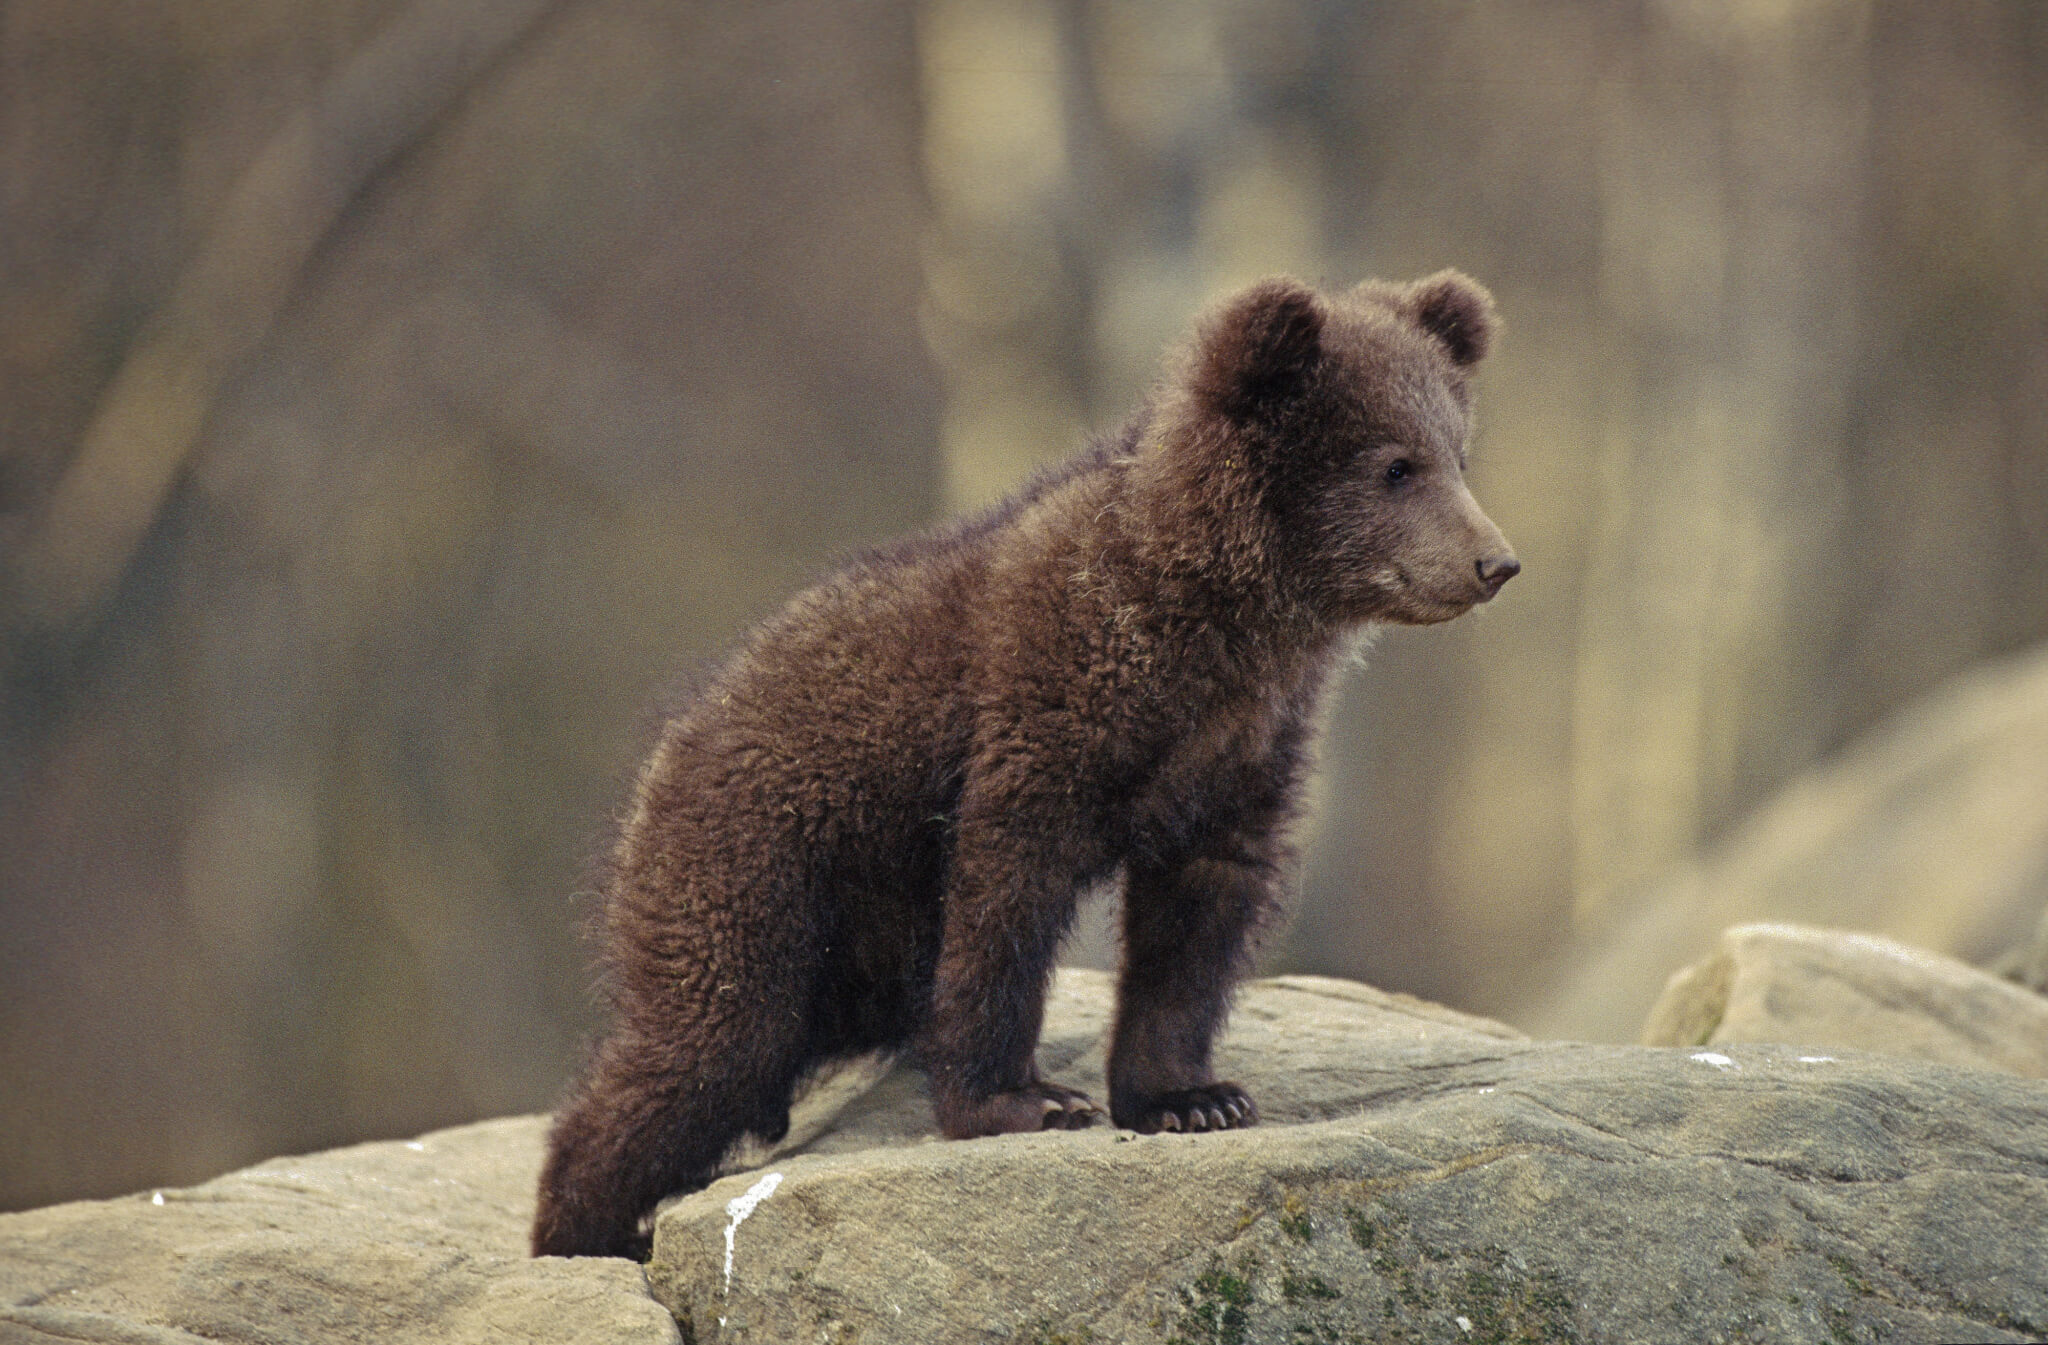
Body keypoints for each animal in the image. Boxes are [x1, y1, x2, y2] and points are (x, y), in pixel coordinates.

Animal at [532, 271, 1518, 1259]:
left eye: (1459, 454)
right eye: (1394, 465)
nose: (1495, 561)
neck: (1223, 626)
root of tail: (665, 750)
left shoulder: (1243, 751)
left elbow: (1196, 924)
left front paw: (1191, 1096)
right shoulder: (1045, 709)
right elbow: (1004, 903)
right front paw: (1024, 1098)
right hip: (756, 863)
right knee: (704, 1046)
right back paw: (590, 1231)